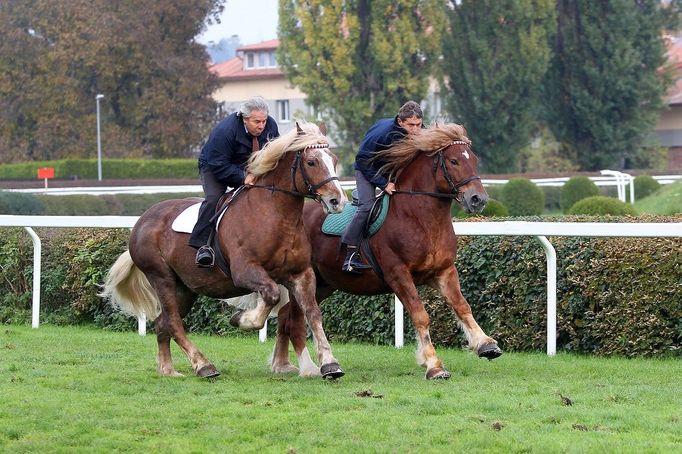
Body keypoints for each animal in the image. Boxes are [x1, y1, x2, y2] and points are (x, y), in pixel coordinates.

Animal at [101, 121, 346, 380]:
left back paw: (168, 369)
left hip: (185, 288)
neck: (276, 216)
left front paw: (330, 363)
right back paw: (203, 365)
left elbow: (313, 312)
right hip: (161, 277)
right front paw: (242, 319)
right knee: (174, 322)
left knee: (162, 323)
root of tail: (142, 220)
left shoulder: (301, 274)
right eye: (311, 162)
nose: (337, 201)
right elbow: (272, 295)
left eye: (334, 159)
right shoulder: (245, 271)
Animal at [268, 123, 502, 380]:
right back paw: (307, 367)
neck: (421, 218)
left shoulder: (443, 271)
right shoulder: (398, 274)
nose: (478, 199)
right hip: (304, 280)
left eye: (474, 159)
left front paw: (485, 344)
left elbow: (462, 306)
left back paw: (281, 364)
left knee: (286, 315)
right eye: (453, 161)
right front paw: (434, 365)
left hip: (323, 284)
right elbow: (420, 315)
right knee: (295, 320)